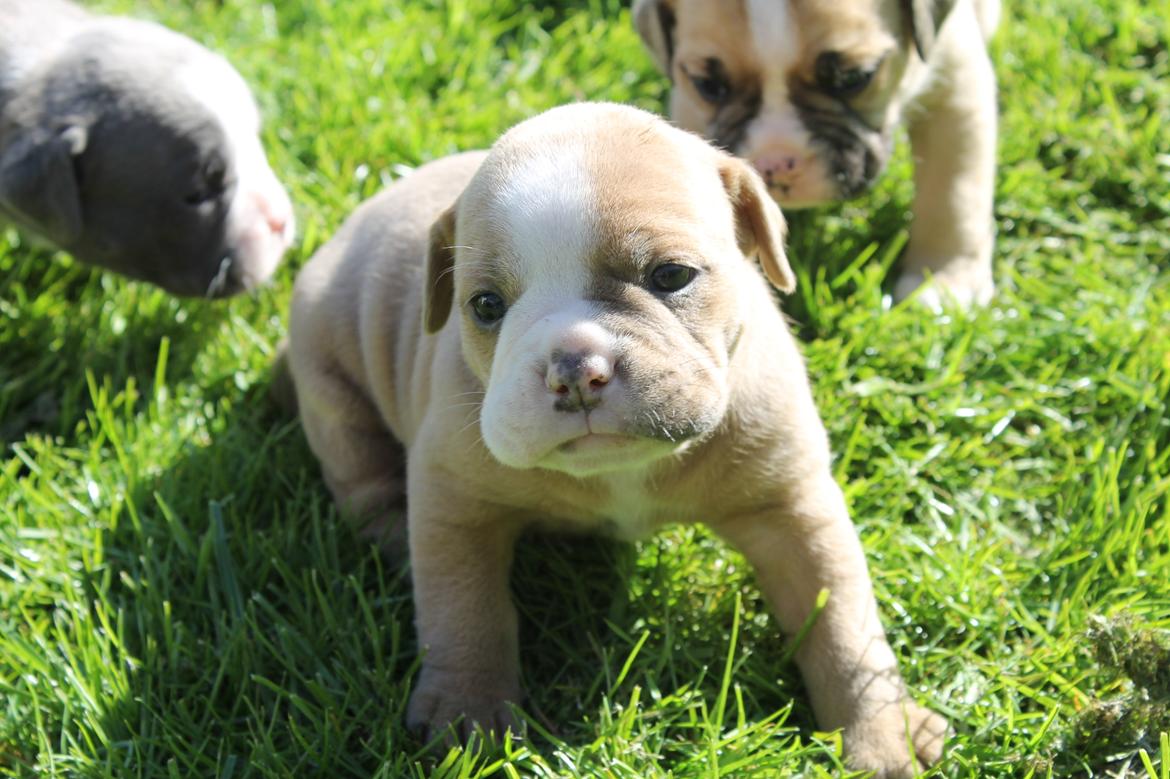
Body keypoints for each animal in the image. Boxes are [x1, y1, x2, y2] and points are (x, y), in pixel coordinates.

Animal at [287, 104, 945, 776]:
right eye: (486, 305)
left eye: (672, 275)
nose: (575, 368)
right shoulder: (455, 505)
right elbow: (464, 612)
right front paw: (467, 720)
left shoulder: (792, 509)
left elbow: (842, 623)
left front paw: (881, 735)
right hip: (328, 383)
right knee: (363, 480)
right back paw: (395, 542)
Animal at [636, 0, 1001, 308]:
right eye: (708, 86)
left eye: (854, 78)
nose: (775, 163)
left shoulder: (956, 90)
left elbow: (952, 197)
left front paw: (943, 281)